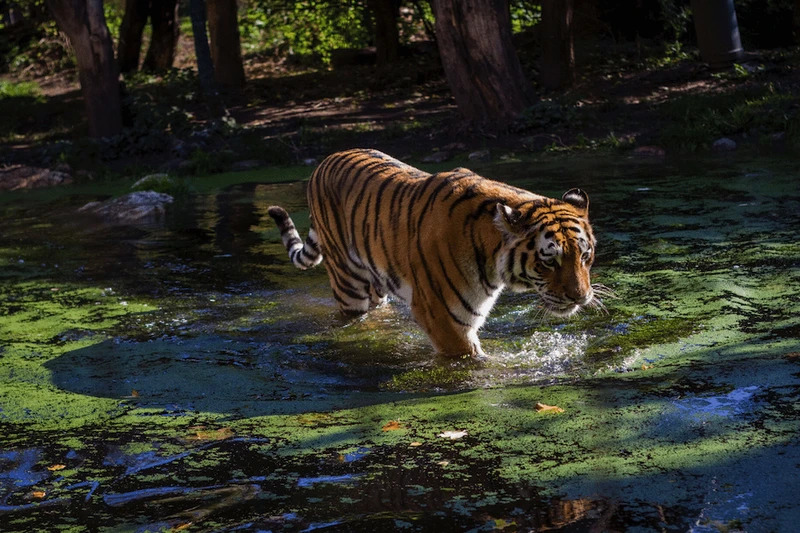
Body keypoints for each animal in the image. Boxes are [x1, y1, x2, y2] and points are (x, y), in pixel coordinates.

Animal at [266, 149, 604, 358]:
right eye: (549, 261)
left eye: (584, 256)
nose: (580, 298)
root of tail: (323, 162)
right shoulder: (444, 318)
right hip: (348, 284)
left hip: (377, 285)